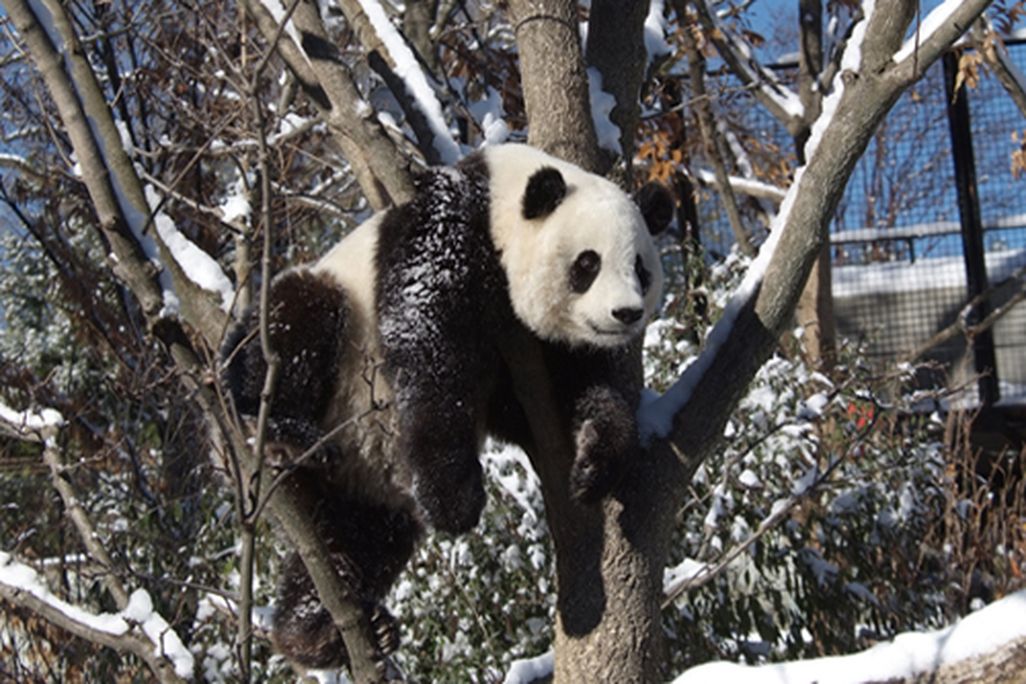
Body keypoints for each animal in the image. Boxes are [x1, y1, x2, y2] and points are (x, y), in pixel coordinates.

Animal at [222, 143, 672, 669]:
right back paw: (278, 435)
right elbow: (429, 341)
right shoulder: (443, 228)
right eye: (588, 264)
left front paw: (594, 465)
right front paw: (455, 501)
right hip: (331, 326)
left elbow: (579, 393)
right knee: (293, 325)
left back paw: (323, 632)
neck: (499, 196)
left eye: (641, 268)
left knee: (356, 541)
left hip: (361, 495)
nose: (626, 313)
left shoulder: (546, 351)